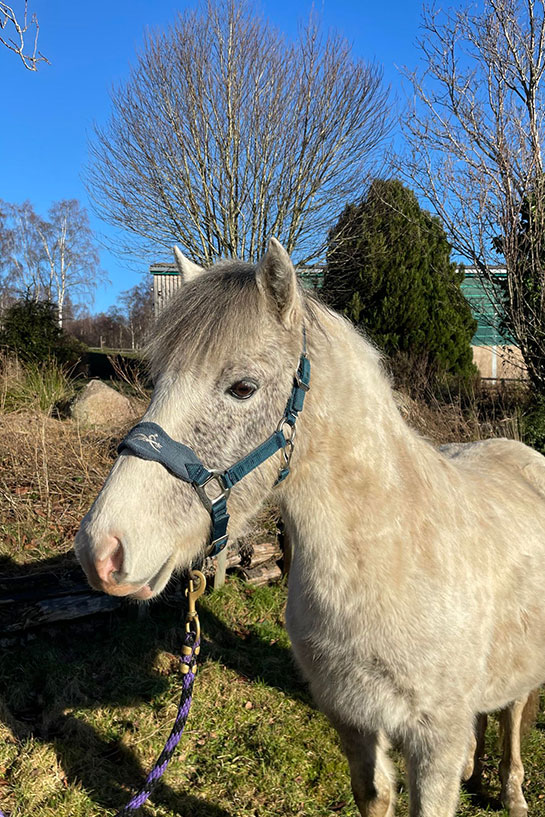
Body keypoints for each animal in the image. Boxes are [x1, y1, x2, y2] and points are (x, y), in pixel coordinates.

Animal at [76, 239, 544, 816]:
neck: (392, 557)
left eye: (243, 388)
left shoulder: (436, 741)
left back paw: (512, 790)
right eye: (156, 382)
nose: (101, 550)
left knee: (515, 712)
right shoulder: (353, 720)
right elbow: (374, 795)